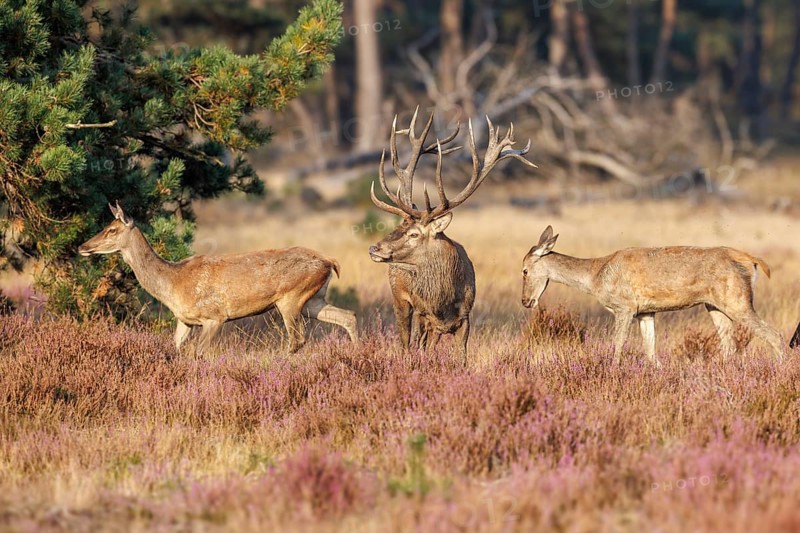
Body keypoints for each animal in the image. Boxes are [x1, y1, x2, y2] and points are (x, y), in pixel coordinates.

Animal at [79, 203, 357, 354]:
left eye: (112, 230)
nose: (83, 246)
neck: (172, 283)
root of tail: (329, 261)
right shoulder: (184, 320)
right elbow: (176, 348)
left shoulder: (215, 316)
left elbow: (198, 352)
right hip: (313, 299)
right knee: (348, 316)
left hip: (291, 297)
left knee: (298, 339)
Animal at [368, 108, 536, 360]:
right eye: (399, 228)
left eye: (414, 234)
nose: (374, 248)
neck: (443, 302)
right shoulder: (422, 313)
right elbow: (417, 347)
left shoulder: (465, 317)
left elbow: (461, 357)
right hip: (400, 300)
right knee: (405, 340)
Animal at [521, 226, 786, 365]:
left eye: (524, 270)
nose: (525, 301)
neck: (595, 277)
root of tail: (750, 260)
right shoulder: (646, 311)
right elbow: (651, 351)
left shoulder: (625, 306)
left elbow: (618, 345)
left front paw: (612, 371)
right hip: (715, 305)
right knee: (730, 345)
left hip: (737, 299)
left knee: (774, 335)